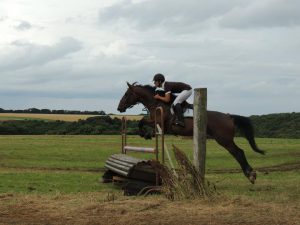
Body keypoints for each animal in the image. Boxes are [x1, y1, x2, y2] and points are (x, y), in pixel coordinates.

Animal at [117, 81, 264, 184]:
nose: (119, 108)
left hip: (224, 139)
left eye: (126, 94)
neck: (157, 102)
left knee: (238, 152)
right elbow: (145, 124)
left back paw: (250, 175)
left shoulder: (158, 122)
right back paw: (250, 174)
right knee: (238, 152)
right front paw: (148, 134)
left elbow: (142, 121)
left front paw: (145, 134)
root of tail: (229, 117)